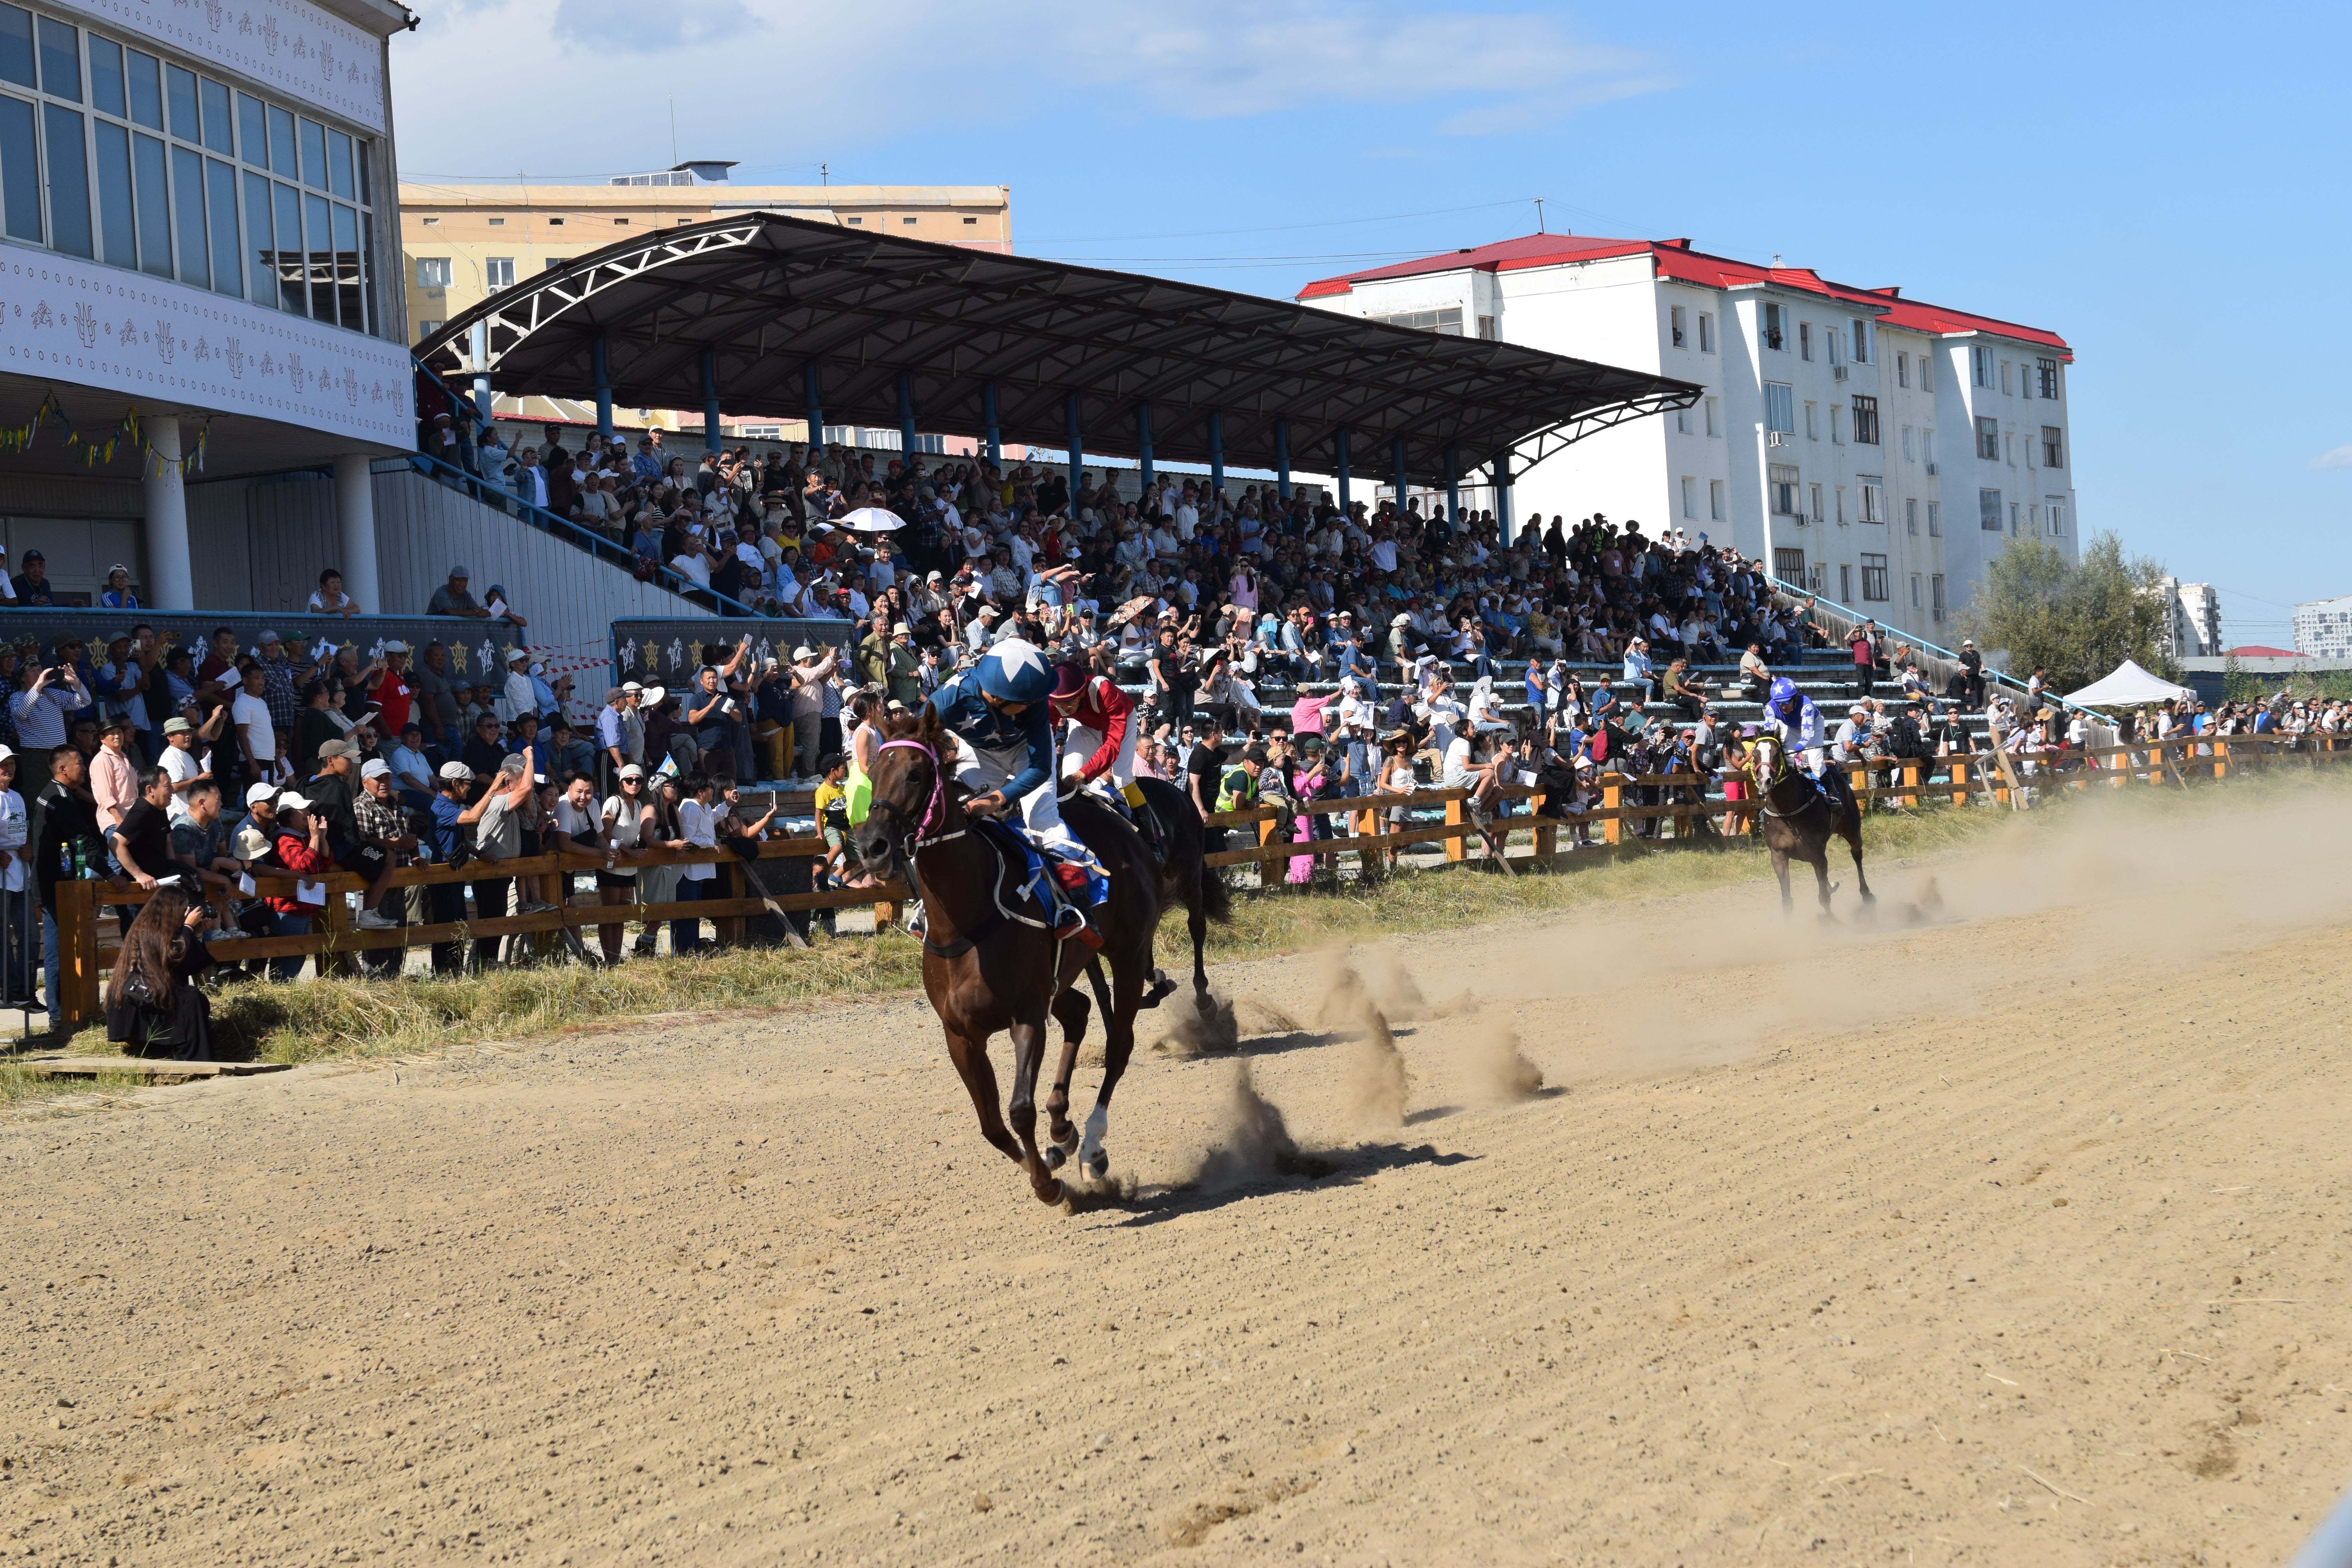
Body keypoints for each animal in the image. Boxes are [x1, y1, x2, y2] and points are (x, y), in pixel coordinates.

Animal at [855, 706, 1163, 1205]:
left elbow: (1019, 1110)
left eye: (917, 773)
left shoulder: (1027, 1015)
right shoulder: (960, 1034)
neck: (964, 922)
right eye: (871, 771)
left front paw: (1050, 1186)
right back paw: (1063, 1128)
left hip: (1129, 953)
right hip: (1063, 973)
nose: (871, 846)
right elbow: (992, 1124)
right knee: (1078, 1011)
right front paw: (1047, 1166)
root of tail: (1123, 823)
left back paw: (1092, 1145)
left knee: (1119, 1045)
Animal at [1745, 732, 1873, 915]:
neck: (1787, 811)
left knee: (1857, 854)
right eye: (1755, 755)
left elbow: (1824, 897)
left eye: (1776, 754)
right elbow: (1787, 900)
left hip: (1852, 829)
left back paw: (1866, 893)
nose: (1765, 782)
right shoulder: (1778, 855)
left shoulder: (1817, 854)